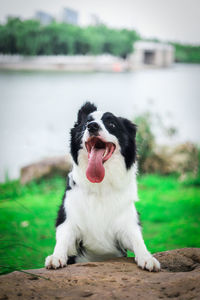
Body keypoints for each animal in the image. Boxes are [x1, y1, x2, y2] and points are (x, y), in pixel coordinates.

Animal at [44, 102, 160, 272]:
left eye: (111, 124)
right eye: (86, 123)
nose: (92, 126)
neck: (101, 187)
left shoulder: (127, 224)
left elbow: (138, 239)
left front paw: (147, 257)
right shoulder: (68, 220)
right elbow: (63, 239)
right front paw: (56, 256)